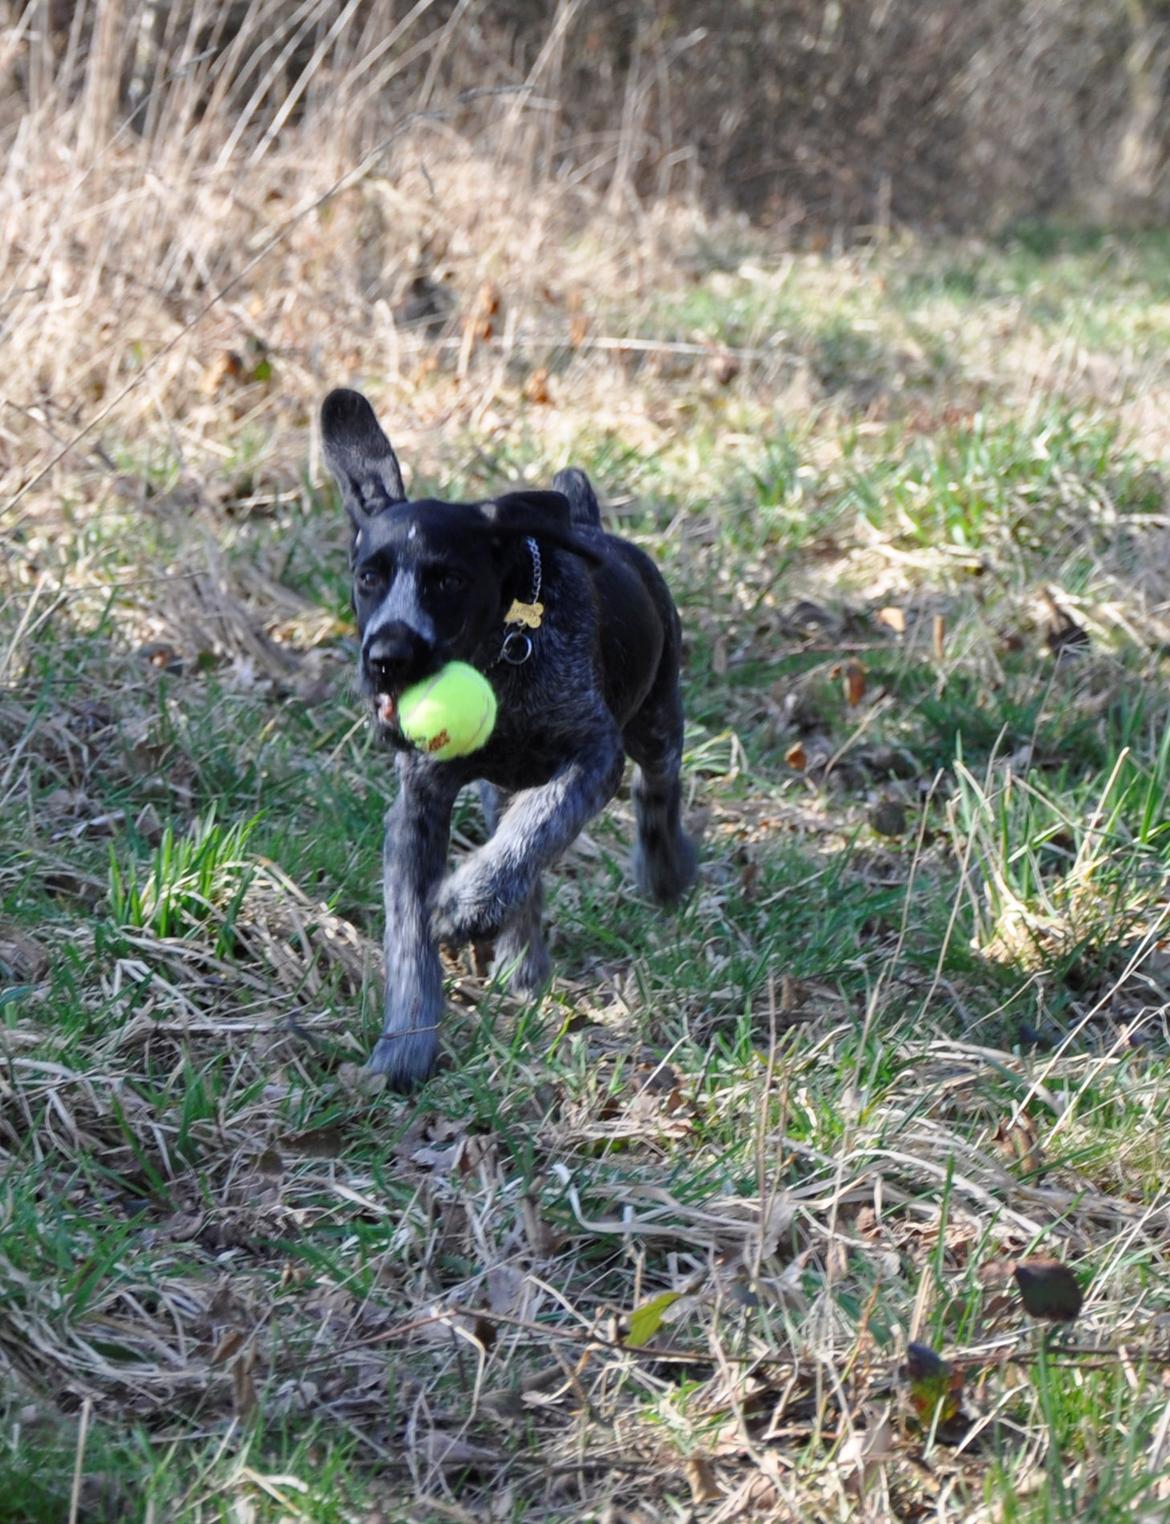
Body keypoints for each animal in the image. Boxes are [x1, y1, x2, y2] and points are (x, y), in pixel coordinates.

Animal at [319, 390, 694, 1085]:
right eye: (368, 578)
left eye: (447, 580)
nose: (386, 658)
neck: (502, 653)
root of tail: (590, 520)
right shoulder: (416, 810)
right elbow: (409, 937)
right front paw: (405, 1045)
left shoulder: (594, 757)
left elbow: (539, 828)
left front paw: (465, 904)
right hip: (501, 788)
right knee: (525, 866)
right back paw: (522, 964)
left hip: (656, 721)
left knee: (657, 791)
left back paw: (665, 870)